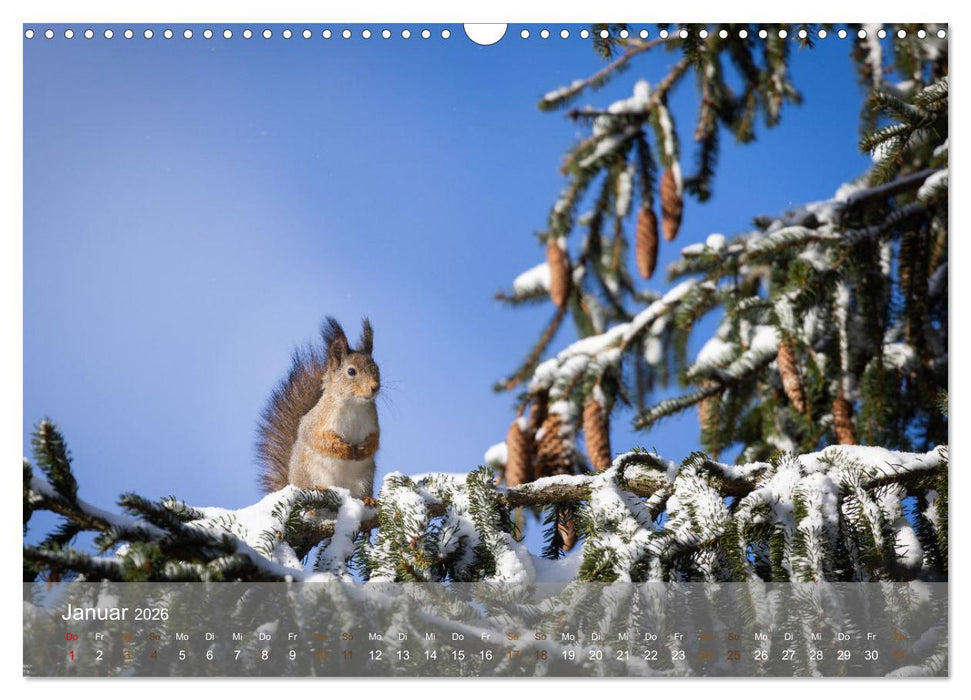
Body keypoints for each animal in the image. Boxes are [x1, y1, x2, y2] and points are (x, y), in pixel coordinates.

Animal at [257, 318, 380, 501]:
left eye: (377, 368)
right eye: (351, 371)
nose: (375, 387)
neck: (354, 405)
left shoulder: (373, 422)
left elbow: (376, 439)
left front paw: (365, 449)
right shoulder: (317, 421)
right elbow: (317, 438)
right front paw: (343, 449)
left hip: (364, 480)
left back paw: (368, 500)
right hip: (312, 472)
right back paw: (320, 489)